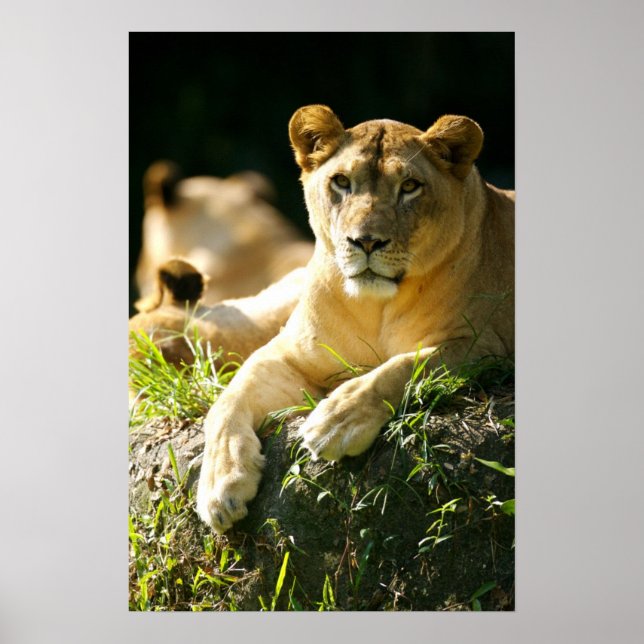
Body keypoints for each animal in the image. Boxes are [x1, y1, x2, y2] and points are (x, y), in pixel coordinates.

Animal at [191, 105, 515, 534]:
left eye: (410, 186)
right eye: (342, 182)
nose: (366, 241)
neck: (373, 307)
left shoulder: (483, 344)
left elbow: (401, 368)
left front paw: (335, 423)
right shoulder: (288, 353)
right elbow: (228, 399)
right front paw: (219, 485)